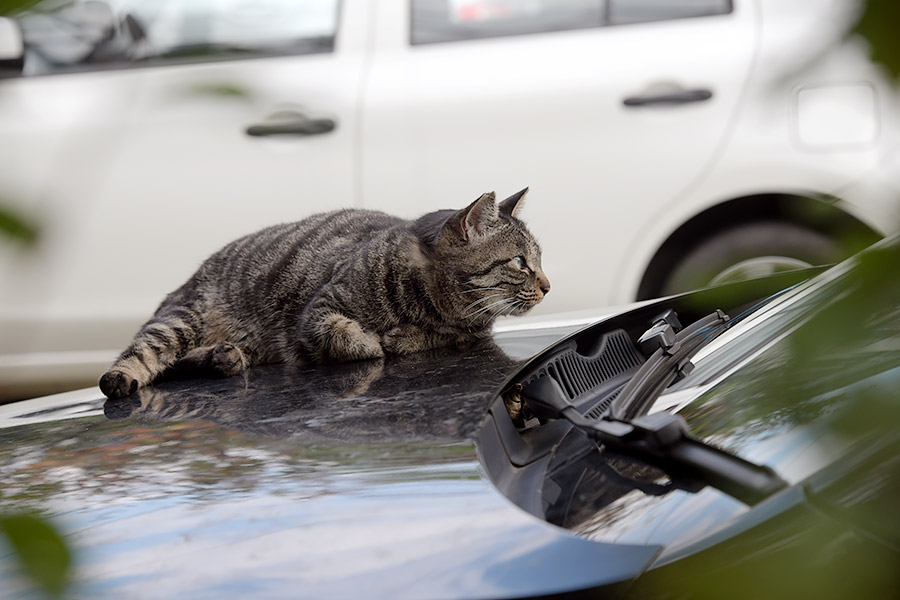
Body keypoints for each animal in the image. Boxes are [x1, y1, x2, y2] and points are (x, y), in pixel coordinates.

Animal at [98, 190, 548, 400]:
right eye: (520, 261)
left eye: (540, 259)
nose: (547, 285)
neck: (429, 302)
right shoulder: (318, 311)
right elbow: (347, 336)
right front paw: (374, 340)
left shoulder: (470, 333)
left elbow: (436, 338)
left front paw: (403, 336)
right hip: (182, 318)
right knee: (143, 358)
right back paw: (125, 376)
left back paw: (223, 357)